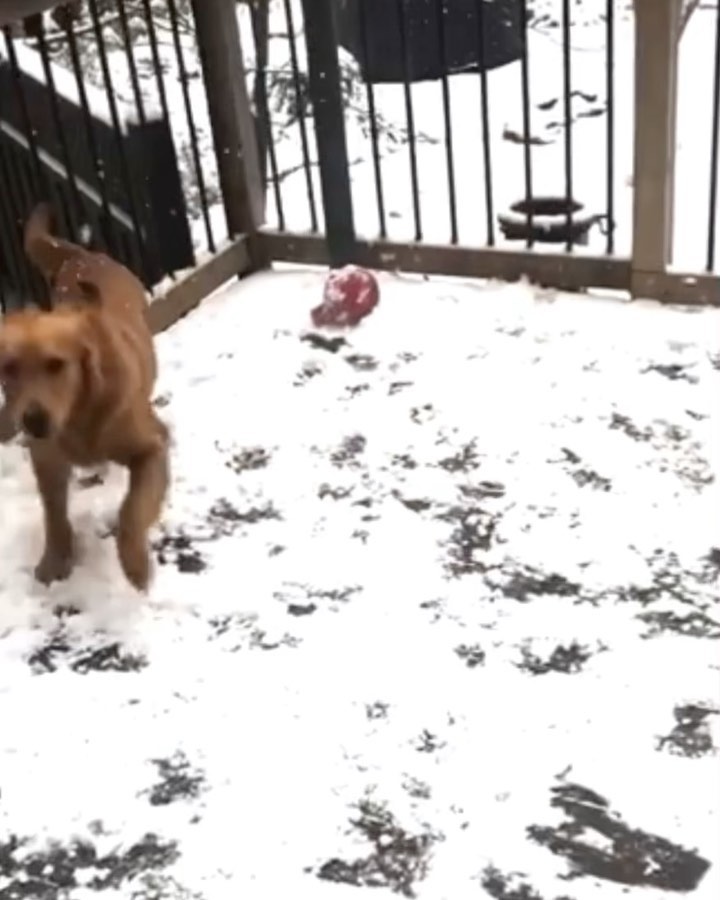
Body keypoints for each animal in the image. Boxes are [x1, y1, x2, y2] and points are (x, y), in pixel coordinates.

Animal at [0, 207, 169, 596]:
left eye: (55, 364)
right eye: (9, 368)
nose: (32, 420)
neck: (80, 415)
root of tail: (82, 256)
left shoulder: (152, 447)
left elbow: (132, 509)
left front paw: (135, 564)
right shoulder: (46, 461)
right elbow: (53, 513)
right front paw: (55, 559)